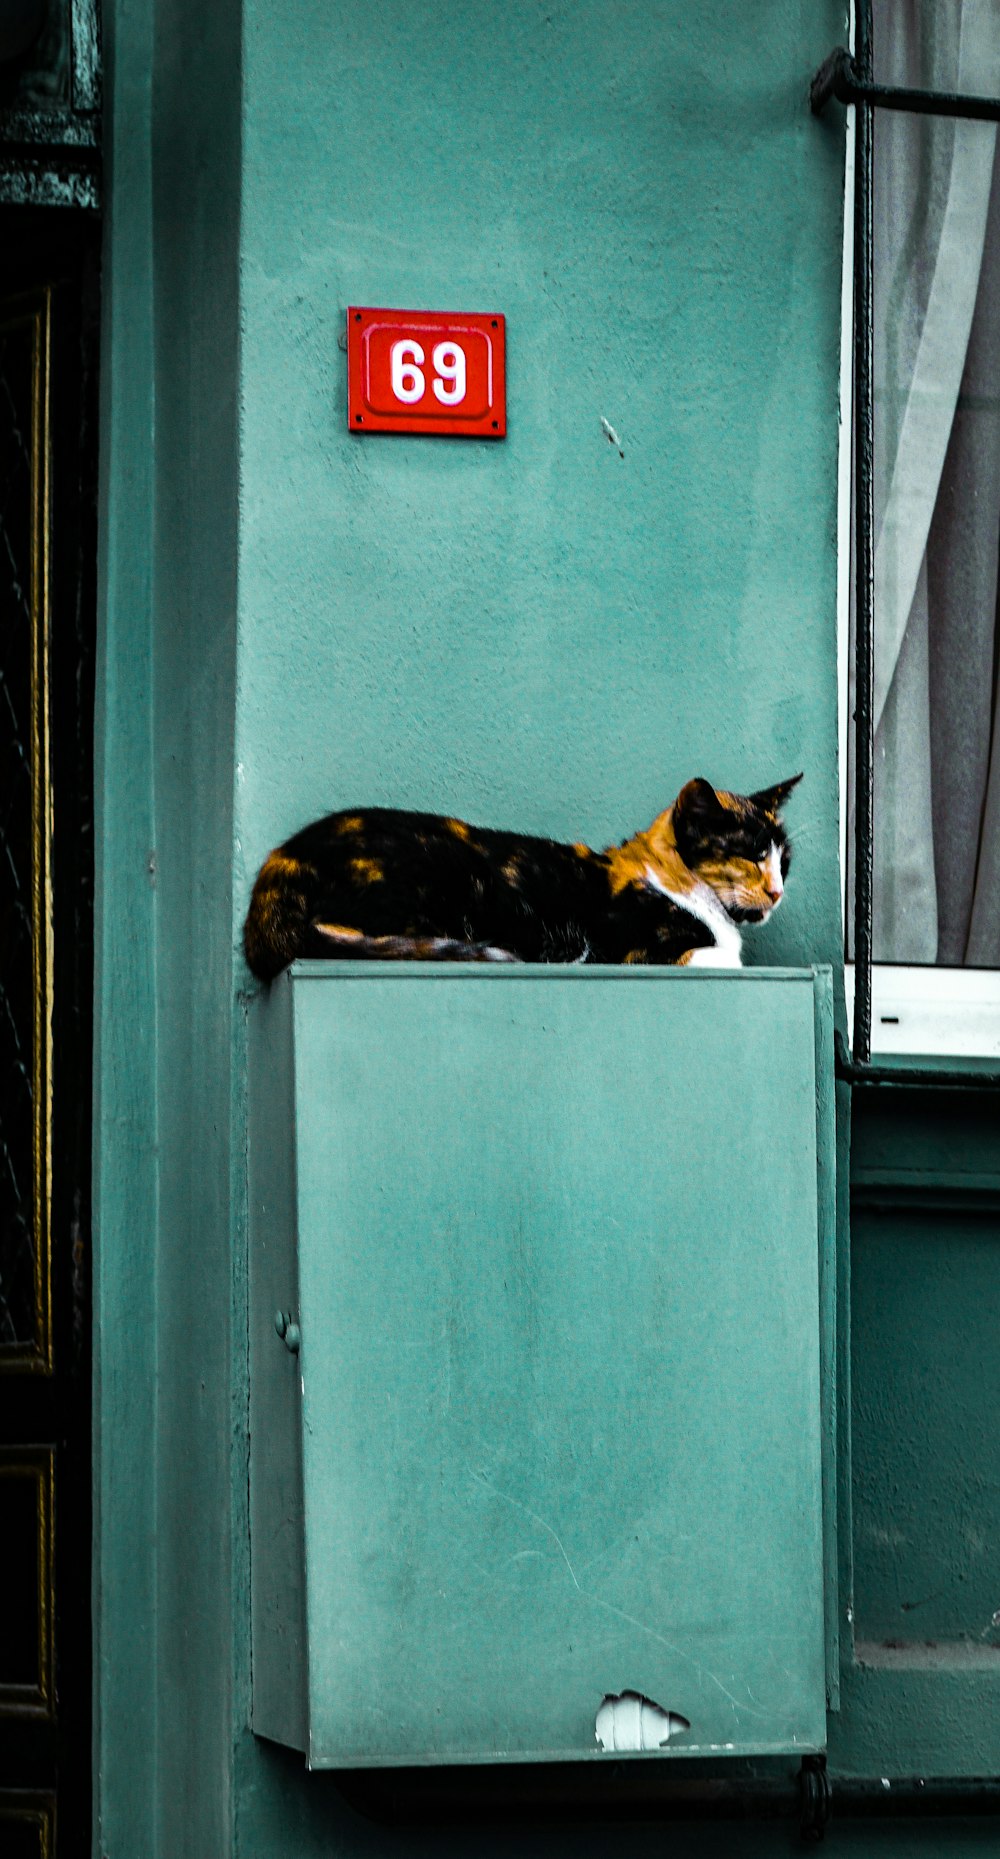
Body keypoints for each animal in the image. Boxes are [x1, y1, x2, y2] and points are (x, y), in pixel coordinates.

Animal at [243, 773, 802, 988]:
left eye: (784, 860)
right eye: (753, 855)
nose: (777, 891)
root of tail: (281, 865)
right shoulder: (633, 951)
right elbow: (727, 957)